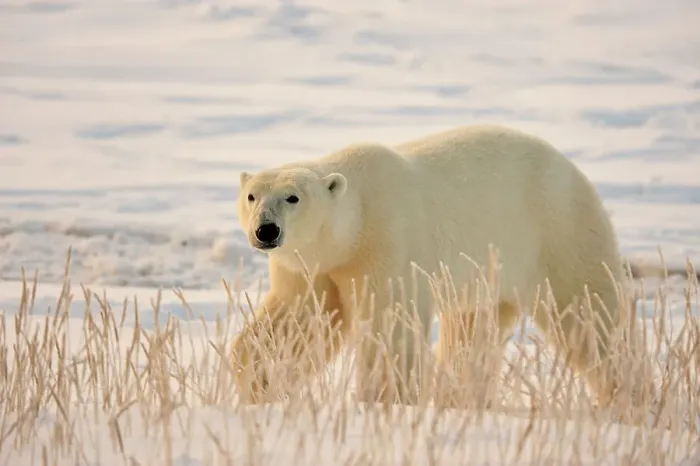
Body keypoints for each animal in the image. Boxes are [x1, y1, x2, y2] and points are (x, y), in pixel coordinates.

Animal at [230, 123, 649, 414]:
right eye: (251, 196)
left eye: (293, 197)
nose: (266, 230)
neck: (356, 217)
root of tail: (574, 171)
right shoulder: (314, 266)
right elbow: (297, 321)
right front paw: (257, 379)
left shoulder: (389, 240)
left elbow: (390, 325)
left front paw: (384, 398)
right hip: (490, 272)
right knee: (473, 330)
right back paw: (460, 398)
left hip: (556, 232)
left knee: (588, 313)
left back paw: (627, 395)